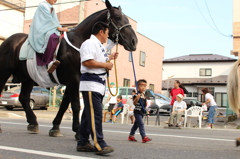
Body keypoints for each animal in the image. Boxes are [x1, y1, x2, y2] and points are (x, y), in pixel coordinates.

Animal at [0, 0, 137, 139]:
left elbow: (64, 104)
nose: (134, 41)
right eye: (118, 17)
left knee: (23, 98)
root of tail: (8, 41)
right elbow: (75, 104)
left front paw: (55, 127)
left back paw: (33, 123)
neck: (80, 43)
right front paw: (78, 131)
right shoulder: (73, 77)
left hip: (28, 77)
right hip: (4, 72)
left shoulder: (74, 80)